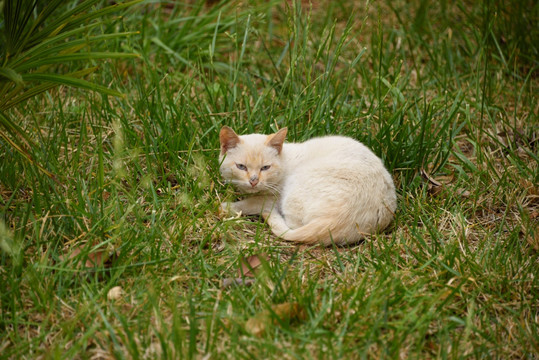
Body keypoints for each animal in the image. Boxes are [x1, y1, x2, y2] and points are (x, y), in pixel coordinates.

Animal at [217, 125, 398, 246]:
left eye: (265, 167)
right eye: (241, 167)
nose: (253, 180)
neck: (284, 160)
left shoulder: (272, 198)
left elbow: (247, 203)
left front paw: (226, 207)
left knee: (291, 225)